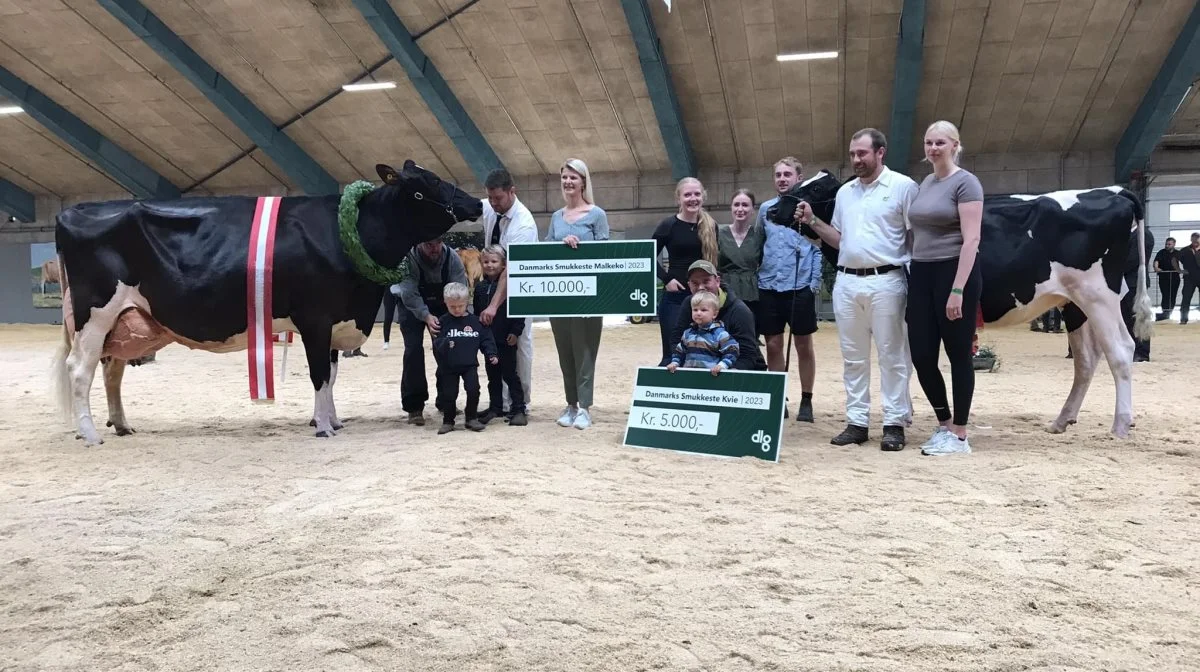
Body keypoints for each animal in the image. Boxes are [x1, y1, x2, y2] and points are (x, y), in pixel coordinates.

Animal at [51, 160, 482, 446]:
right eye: (427, 184)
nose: (477, 204)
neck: (350, 233)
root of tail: (73, 210)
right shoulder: (315, 318)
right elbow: (319, 375)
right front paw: (323, 427)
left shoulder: (335, 321)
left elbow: (332, 374)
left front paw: (333, 420)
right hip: (94, 315)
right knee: (80, 370)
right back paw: (90, 433)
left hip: (122, 320)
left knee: (111, 371)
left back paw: (121, 424)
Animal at [772, 170, 1156, 439]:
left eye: (816, 189)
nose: (774, 208)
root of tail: (1116, 191)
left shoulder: (904, 312)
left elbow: (903, 362)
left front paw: (904, 415)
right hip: (1073, 304)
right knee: (1087, 359)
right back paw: (1061, 421)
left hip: (1101, 295)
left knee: (1120, 350)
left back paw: (1120, 425)